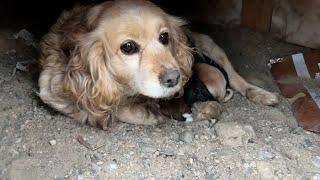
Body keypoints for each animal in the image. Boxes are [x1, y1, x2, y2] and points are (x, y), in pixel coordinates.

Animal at [37, 0, 278, 129]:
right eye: (128, 47)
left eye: (164, 37)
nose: (174, 78)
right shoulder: (51, 88)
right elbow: (104, 106)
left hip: (211, 46)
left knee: (236, 78)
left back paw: (262, 94)